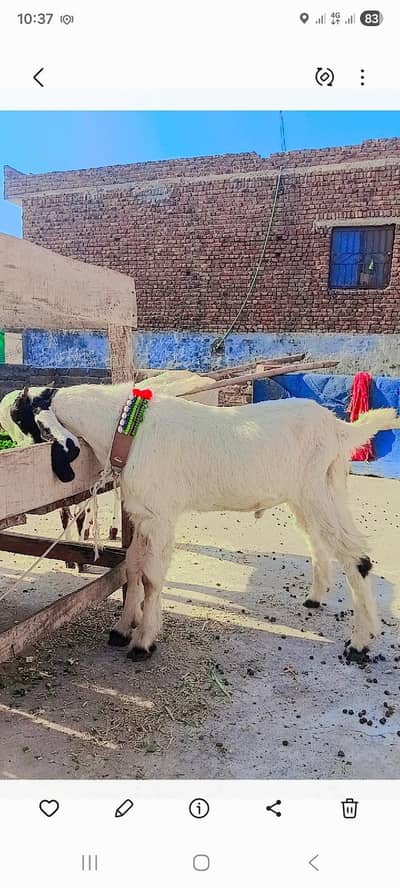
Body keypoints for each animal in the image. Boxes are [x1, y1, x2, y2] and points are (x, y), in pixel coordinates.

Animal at [5, 380, 400, 667]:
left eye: (21, 419)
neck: (129, 430)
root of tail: (338, 428)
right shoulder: (143, 515)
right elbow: (132, 567)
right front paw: (121, 628)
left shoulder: (161, 517)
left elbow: (151, 578)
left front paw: (143, 641)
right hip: (313, 494)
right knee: (318, 541)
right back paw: (316, 598)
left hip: (318, 492)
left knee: (357, 557)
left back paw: (360, 643)